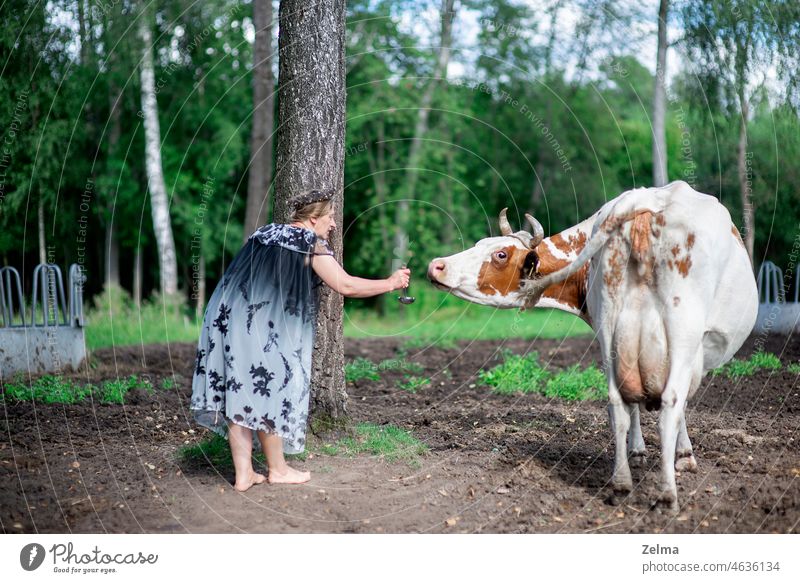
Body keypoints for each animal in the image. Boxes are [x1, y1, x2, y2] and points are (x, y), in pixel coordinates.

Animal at [424, 181, 756, 512]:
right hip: (681, 329)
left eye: (500, 253)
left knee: (617, 402)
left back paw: (621, 484)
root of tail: (644, 201)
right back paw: (666, 496)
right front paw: (682, 455)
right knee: (670, 402)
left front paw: (638, 451)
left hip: (612, 326)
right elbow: (679, 403)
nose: (436, 266)